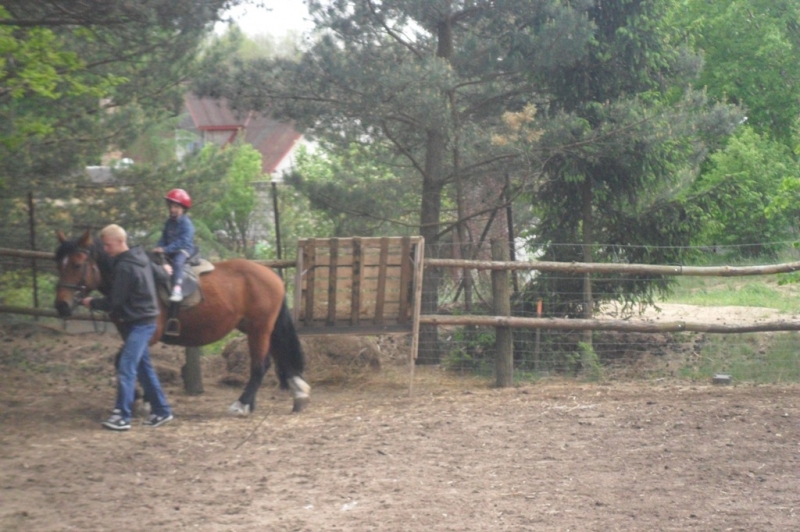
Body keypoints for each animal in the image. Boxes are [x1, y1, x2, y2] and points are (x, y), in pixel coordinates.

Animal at [53, 229, 310, 416]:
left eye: (77, 265)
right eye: (58, 264)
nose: (61, 305)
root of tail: (272, 275)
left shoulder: (150, 333)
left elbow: (124, 361)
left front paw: (139, 399)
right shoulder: (134, 333)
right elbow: (136, 363)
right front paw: (146, 399)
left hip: (259, 327)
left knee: (260, 365)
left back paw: (242, 403)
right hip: (258, 327)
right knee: (278, 357)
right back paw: (297, 394)